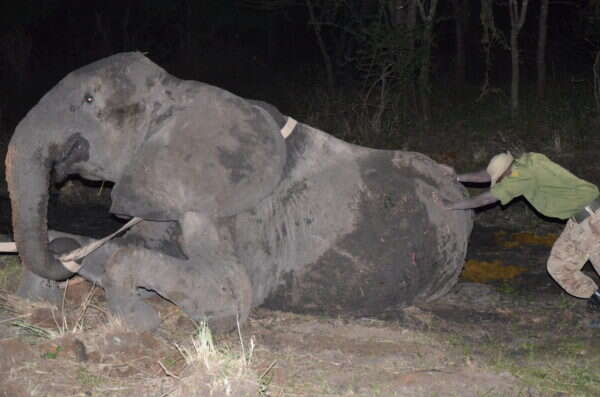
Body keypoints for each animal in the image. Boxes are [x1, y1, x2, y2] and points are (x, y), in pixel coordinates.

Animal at [4, 52, 474, 332]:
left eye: (88, 100)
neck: (178, 92)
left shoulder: (228, 208)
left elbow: (230, 292)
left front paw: (141, 321)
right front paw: (46, 286)